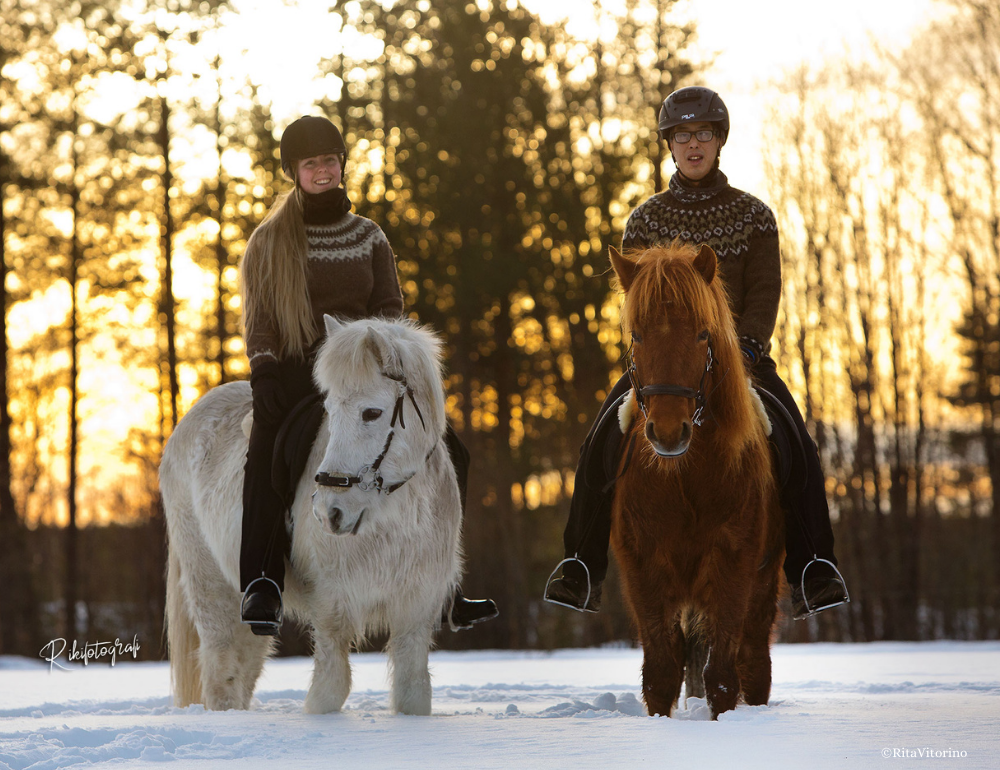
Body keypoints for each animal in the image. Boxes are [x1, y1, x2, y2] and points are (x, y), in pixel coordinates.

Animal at [161, 314, 464, 712]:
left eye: (372, 413)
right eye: (329, 411)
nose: (328, 512)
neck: (391, 521)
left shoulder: (415, 612)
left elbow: (413, 691)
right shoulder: (333, 609)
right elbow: (330, 689)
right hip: (209, 582)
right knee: (221, 672)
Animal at [604, 243, 784, 716]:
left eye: (703, 334)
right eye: (637, 336)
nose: (669, 432)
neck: (684, 482)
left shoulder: (733, 567)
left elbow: (721, 677)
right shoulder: (644, 569)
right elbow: (661, 673)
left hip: (763, 586)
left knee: (754, 663)